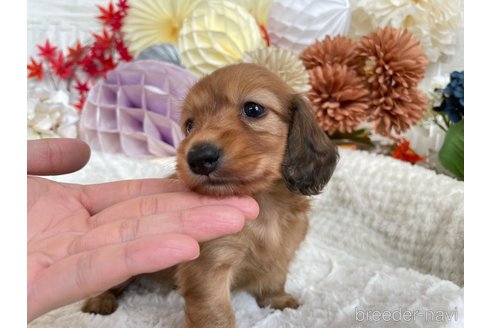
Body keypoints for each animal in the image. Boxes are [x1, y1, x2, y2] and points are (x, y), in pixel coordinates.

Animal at [82, 63, 340, 328]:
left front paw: (276, 300)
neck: (264, 206)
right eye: (189, 125)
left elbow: (274, 278)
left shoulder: (282, 253)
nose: (198, 158)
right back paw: (99, 301)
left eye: (253, 109)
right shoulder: (209, 267)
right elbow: (216, 315)